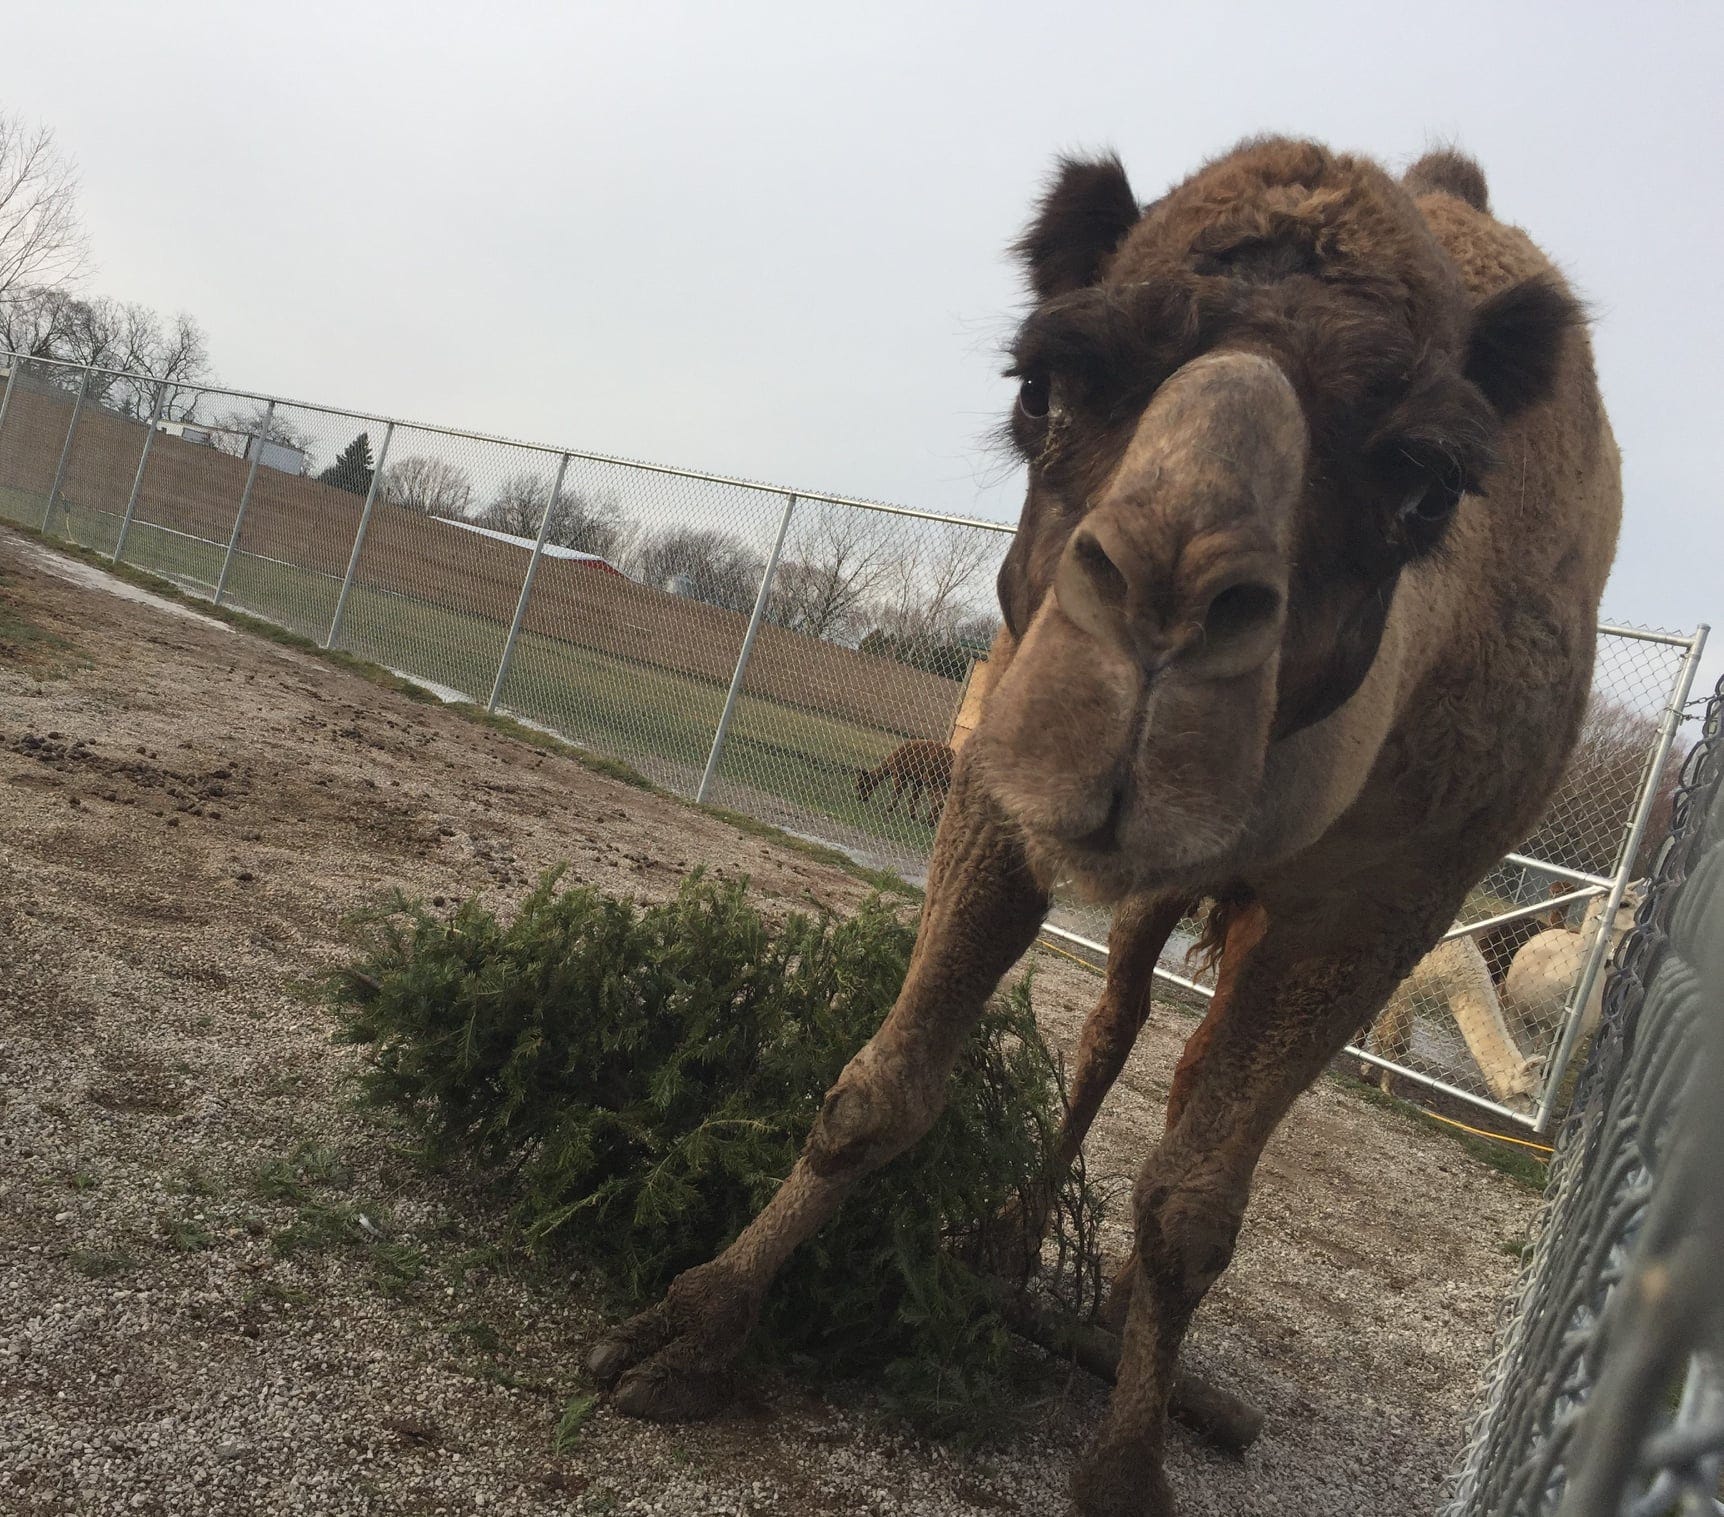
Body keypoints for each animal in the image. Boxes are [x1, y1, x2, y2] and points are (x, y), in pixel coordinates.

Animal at [593, 136, 1613, 1510]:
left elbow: (1194, 1206)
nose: (1158, 615)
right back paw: (1010, 1245)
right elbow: (881, 1088)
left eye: (1422, 479)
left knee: (1190, 1100)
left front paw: (1128, 1459)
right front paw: (686, 1329)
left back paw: (1132, 1334)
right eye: (1042, 388)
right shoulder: (999, 771)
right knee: (1112, 1031)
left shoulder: (1387, 902)